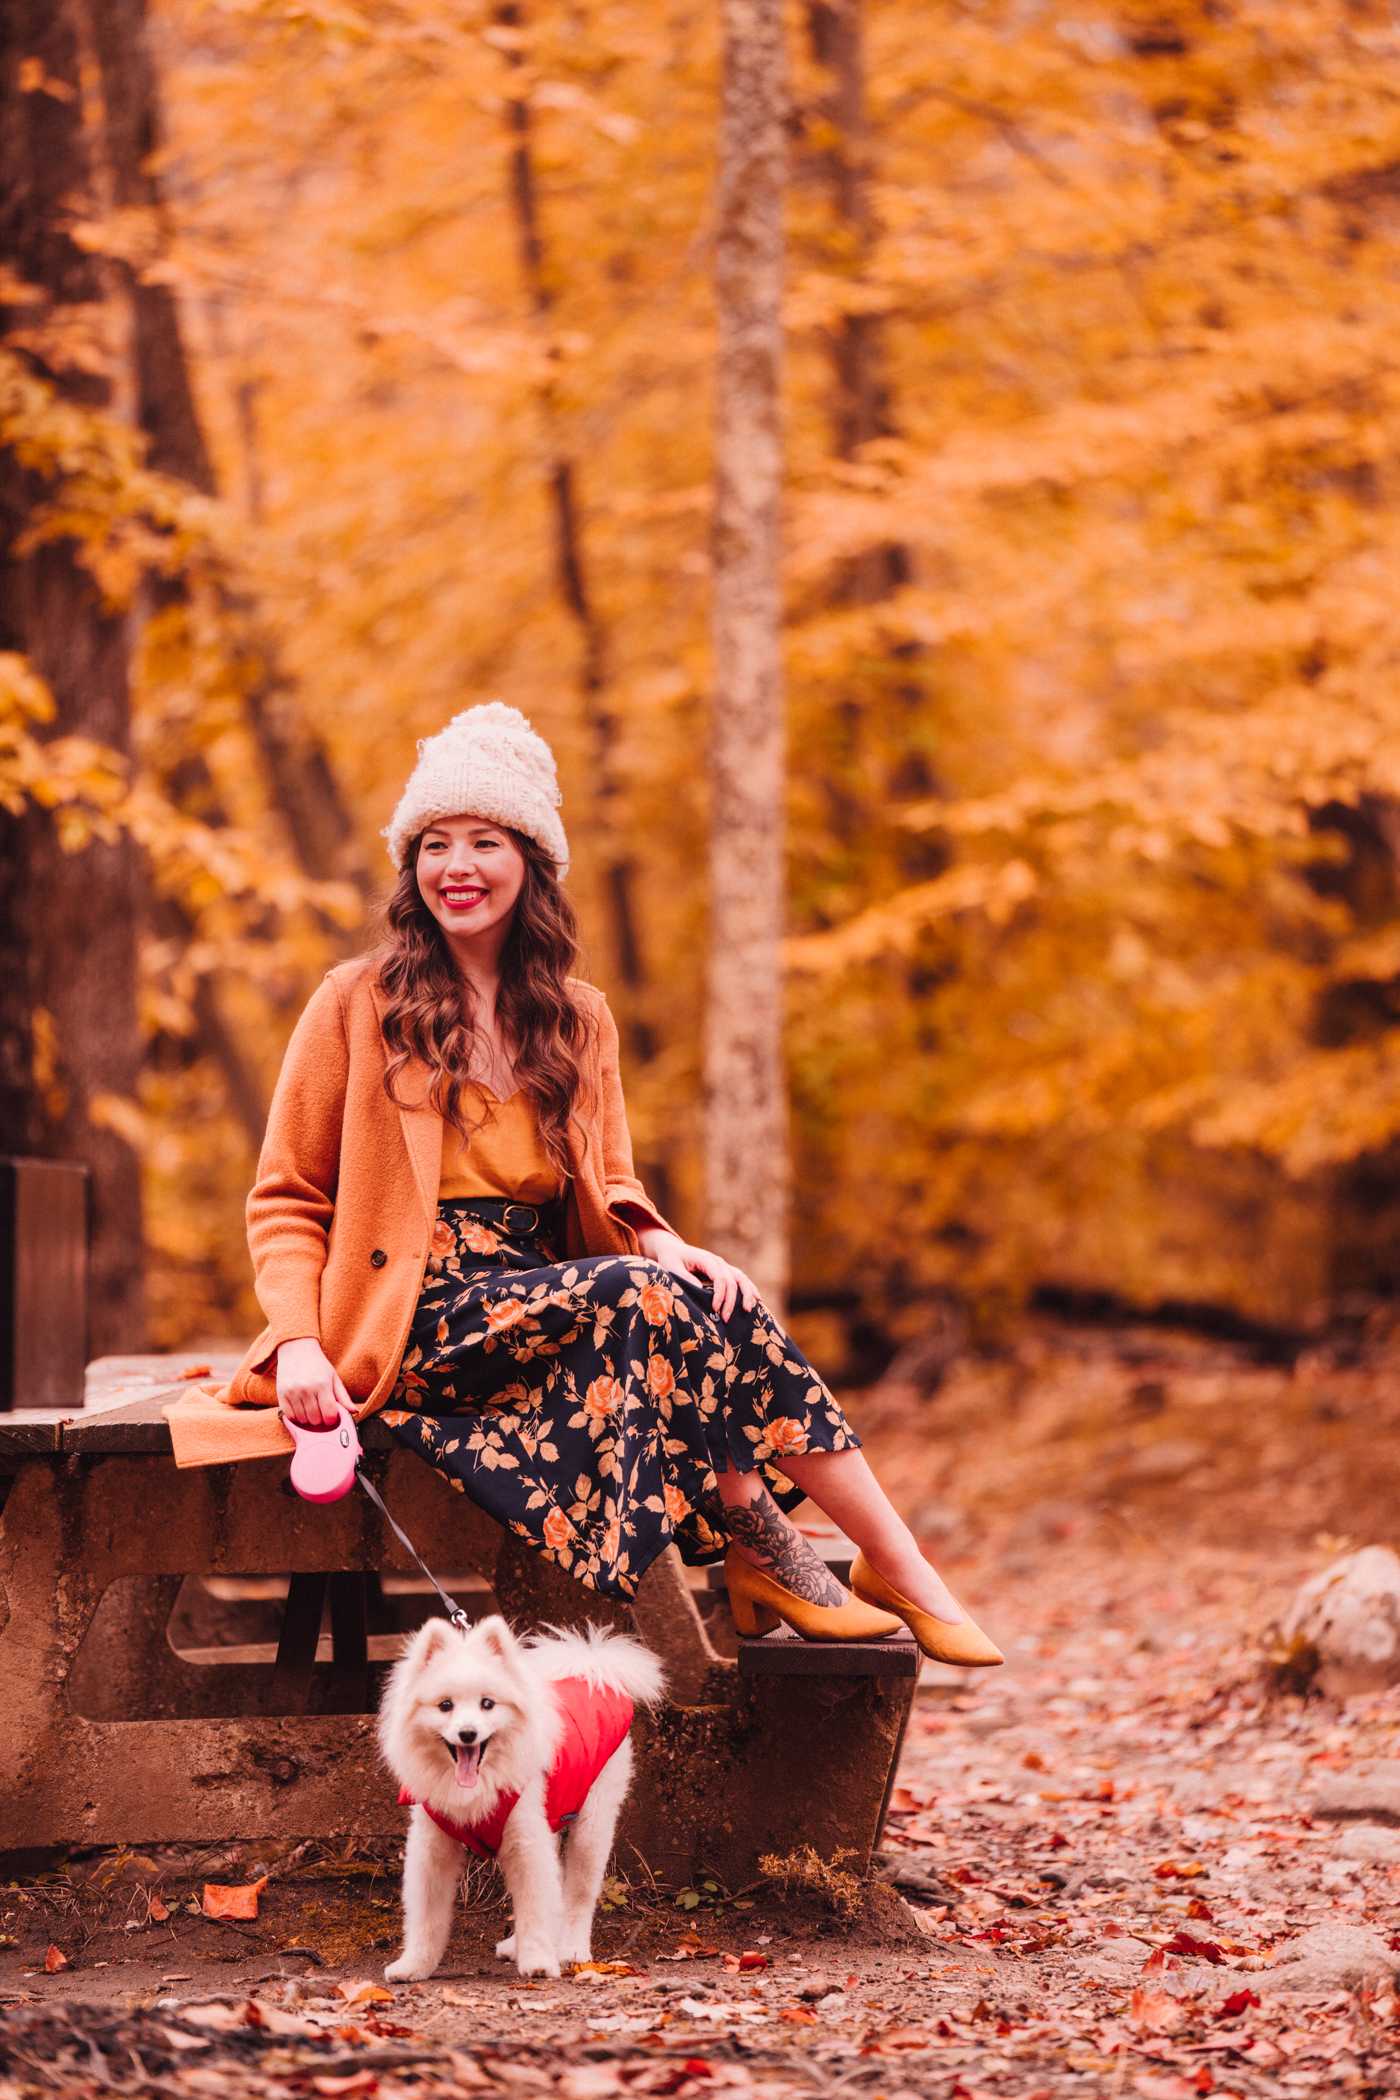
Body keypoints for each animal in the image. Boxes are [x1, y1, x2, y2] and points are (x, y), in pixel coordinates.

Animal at [377, 1612, 663, 1973]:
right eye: (445, 1706)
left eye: (487, 1704)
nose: (467, 1733)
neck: (477, 1785)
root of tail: (590, 1668)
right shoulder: (433, 1845)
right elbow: (425, 1915)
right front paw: (414, 1966)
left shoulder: (525, 1839)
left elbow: (535, 1904)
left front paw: (538, 1960)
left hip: (592, 1825)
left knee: (579, 1894)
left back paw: (570, 1949)